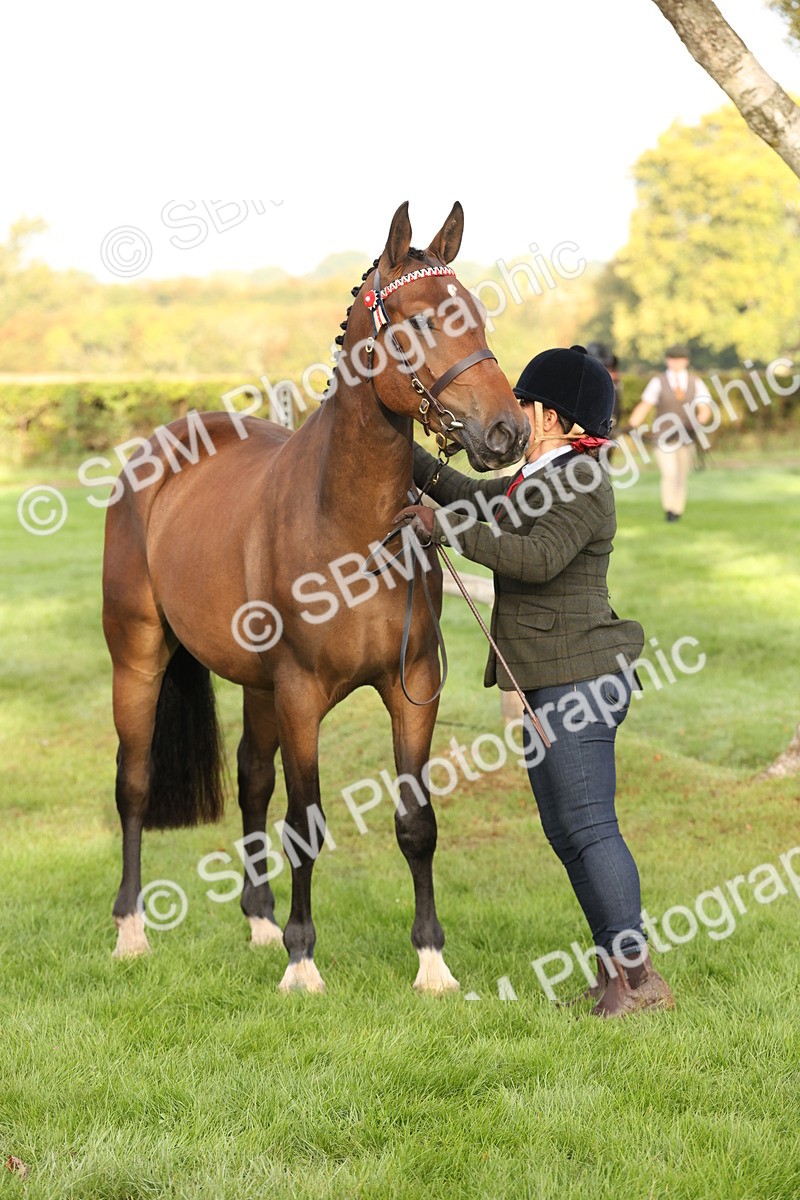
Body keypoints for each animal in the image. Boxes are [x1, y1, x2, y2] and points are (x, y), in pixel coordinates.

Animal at [102, 201, 530, 993]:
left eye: (477, 314)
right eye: (420, 320)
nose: (507, 431)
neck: (349, 526)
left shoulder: (411, 686)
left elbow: (416, 823)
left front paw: (432, 964)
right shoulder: (302, 693)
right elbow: (305, 823)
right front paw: (304, 963)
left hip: (255, 685)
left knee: (249, 781)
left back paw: (261, 923)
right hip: (138, 658)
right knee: (135, 784)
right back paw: (132, 931)